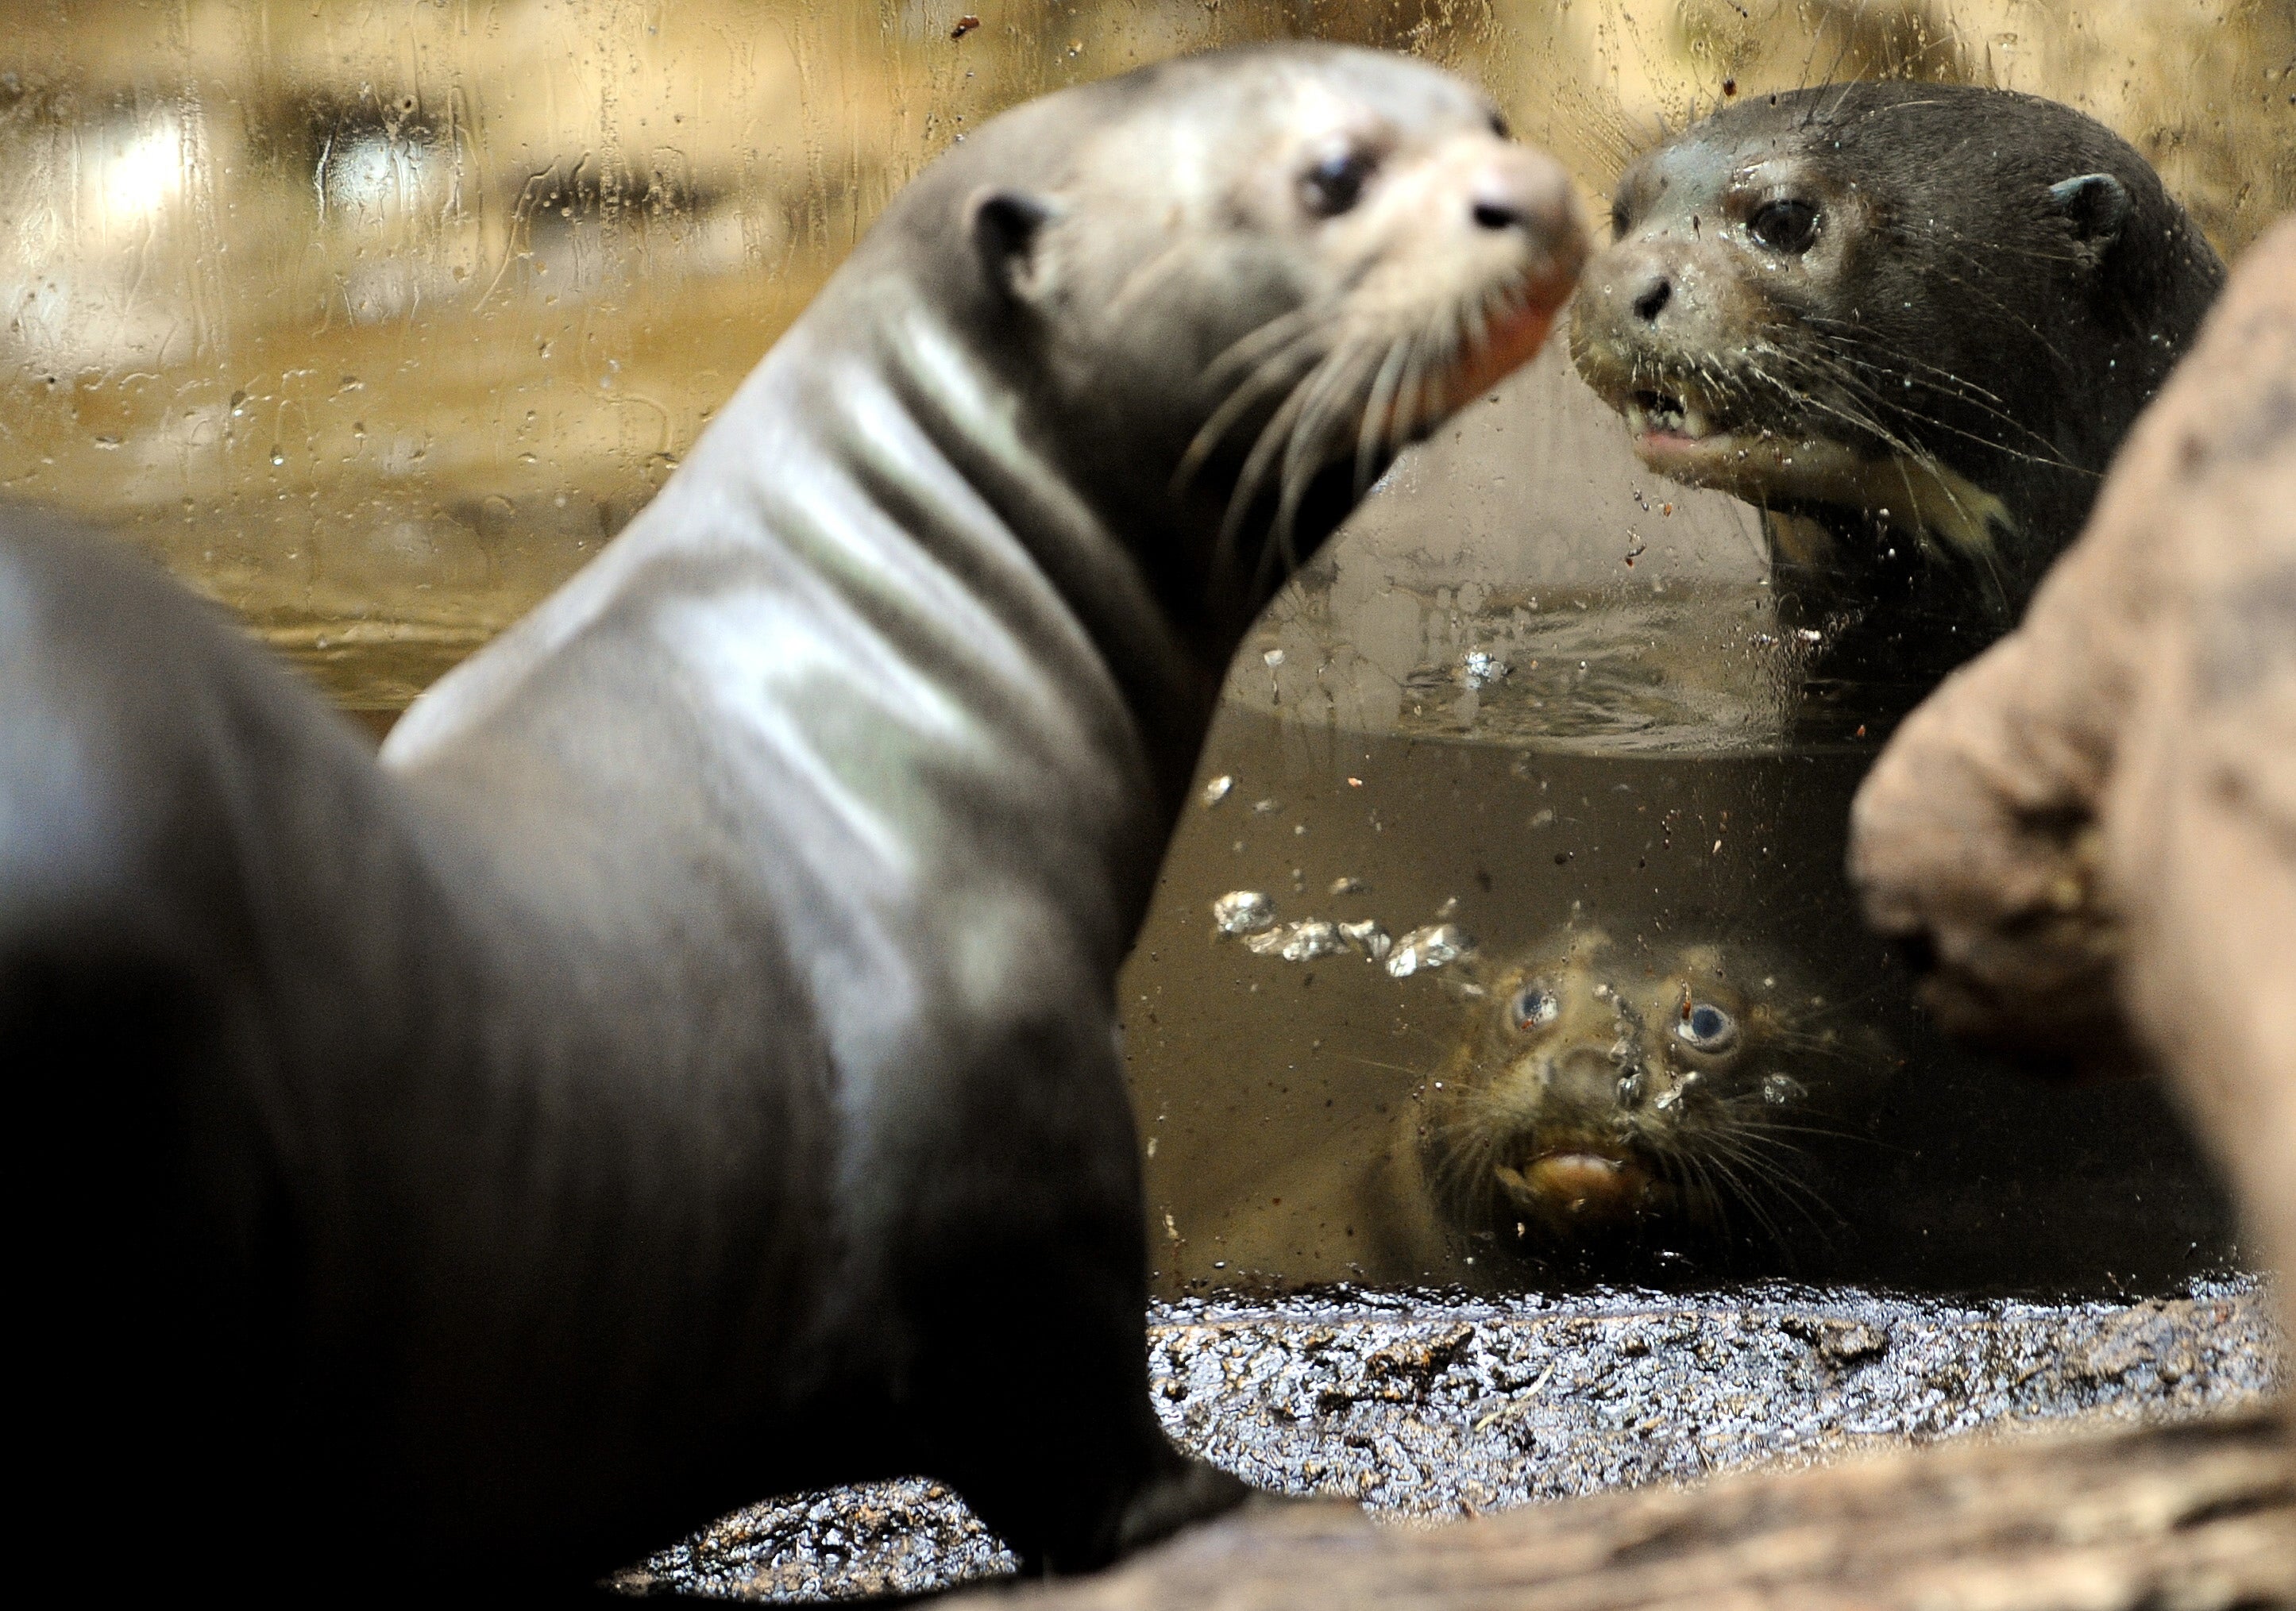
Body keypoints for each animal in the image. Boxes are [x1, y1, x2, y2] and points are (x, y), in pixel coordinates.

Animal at [1, 46, 1582, 1599]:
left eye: (1491, 113)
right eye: (1335, 174)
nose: (1538, 192)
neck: (898, 653)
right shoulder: (1010, 1121)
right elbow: (1077, 1427)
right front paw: (1264, 1509)